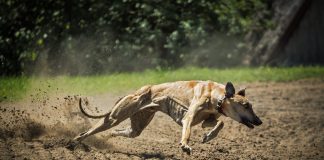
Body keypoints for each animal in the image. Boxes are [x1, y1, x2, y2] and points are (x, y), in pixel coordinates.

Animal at [73, 80, 260, 154]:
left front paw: (208, 136)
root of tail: (138, 91)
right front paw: (185, 145)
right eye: (246, 106)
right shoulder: (188, 119)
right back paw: (73, 142)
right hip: (114, 118)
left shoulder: (207, 119)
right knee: (87, 132)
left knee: (123, 131)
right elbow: (187, 132)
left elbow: (220, 122)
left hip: (136, 126)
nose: (259, 121)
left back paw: (106, 138)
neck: (216, 96)